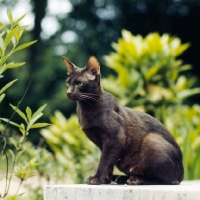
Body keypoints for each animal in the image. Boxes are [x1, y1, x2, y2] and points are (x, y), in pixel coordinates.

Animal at [63, 55, 184, 185]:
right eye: (67, 83)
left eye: (80, 83)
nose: (68, 92)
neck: (86, 108)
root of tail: (182, 174)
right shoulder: (103, 145)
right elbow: (108, 164)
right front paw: (105, 180)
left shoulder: (115, 139)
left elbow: (104, 162)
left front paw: (97, 179)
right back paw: (121, 178)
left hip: (152, 140)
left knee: (167, 180)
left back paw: (135, 179)